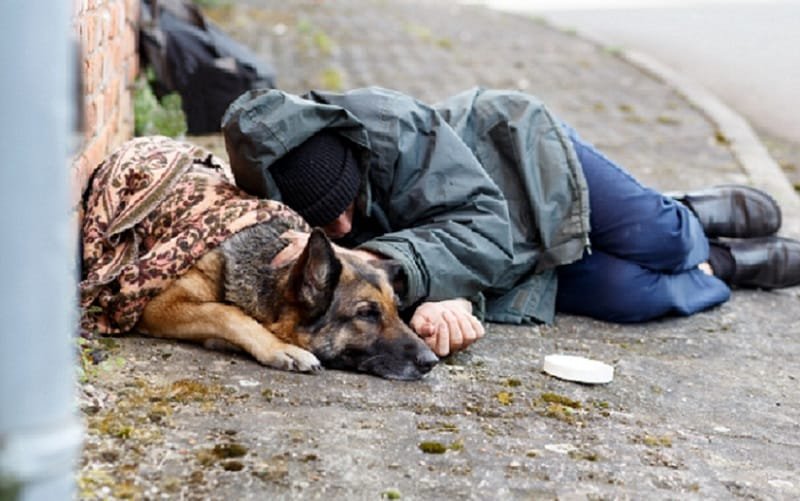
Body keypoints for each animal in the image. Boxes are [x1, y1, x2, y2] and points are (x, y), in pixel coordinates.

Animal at [138, 223, 438, 378]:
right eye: (366, 314)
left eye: (397, 310)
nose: (431, 361)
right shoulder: (157, 306)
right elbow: (225, 312)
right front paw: (280, 348)